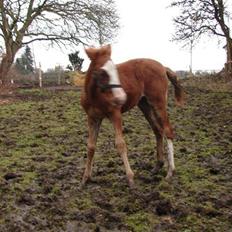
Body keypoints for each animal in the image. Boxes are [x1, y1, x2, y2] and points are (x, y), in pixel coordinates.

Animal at [80, 44, 184, 187]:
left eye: (115, 70)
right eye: (102, 72)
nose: (121, 97)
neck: (94, 96)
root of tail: (163, 67)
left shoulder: (116, 115)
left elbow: (120, 144)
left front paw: (130, 178)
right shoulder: (92, 118)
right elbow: (90, 147)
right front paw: (85, 178)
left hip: (158, 103)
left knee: (168, 130)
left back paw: (170, 172)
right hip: (145, 105)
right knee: (158, 130)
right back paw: (158, 166)